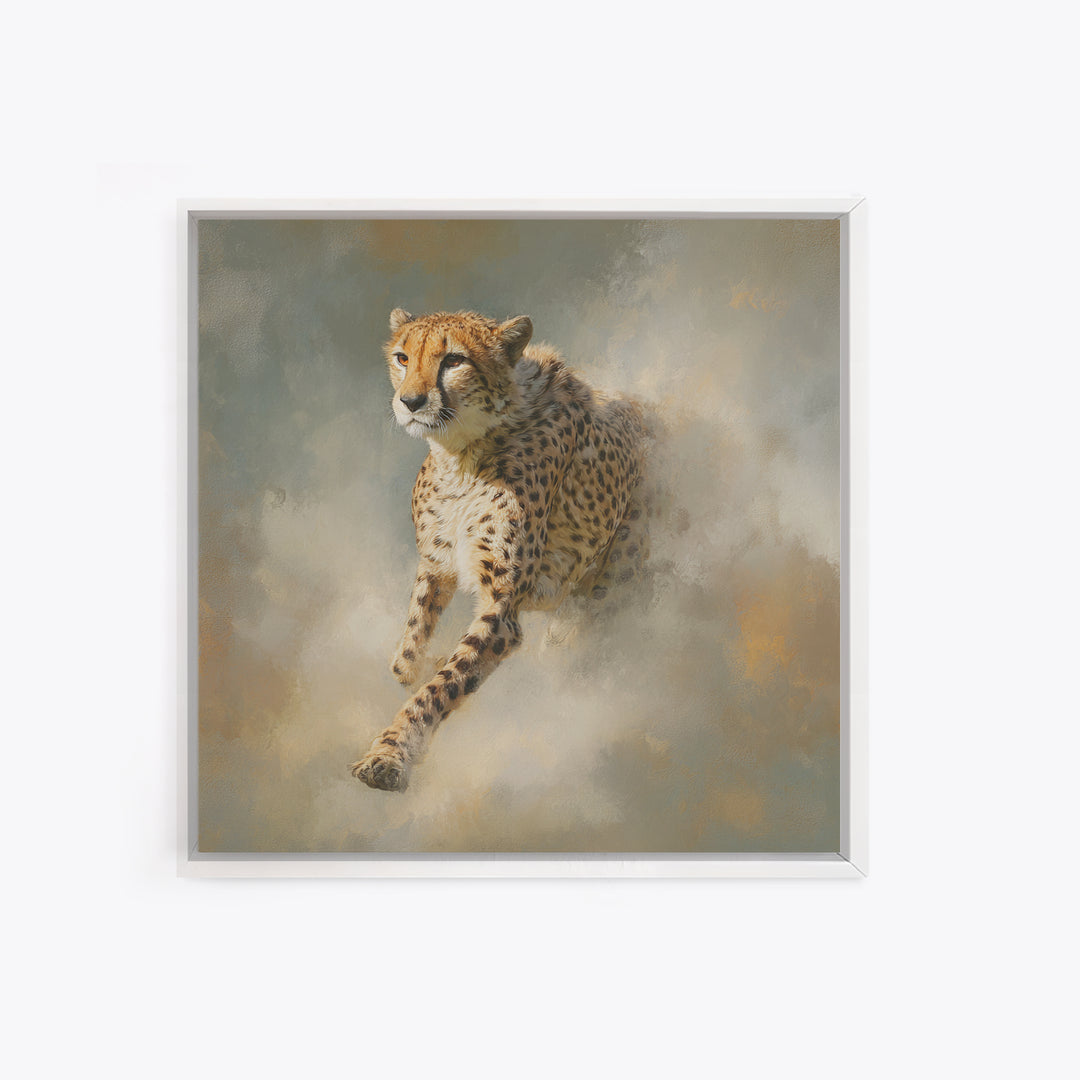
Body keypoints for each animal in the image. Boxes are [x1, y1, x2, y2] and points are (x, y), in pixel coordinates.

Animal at [351, 308, 651, 791]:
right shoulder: (437, 562)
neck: (461, 457)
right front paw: (419, 664)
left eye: (454, 360)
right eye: (402, 357)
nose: (410, 402)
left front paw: (390, 754)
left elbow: (440, 686)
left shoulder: (502, 607)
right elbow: (408, 654)